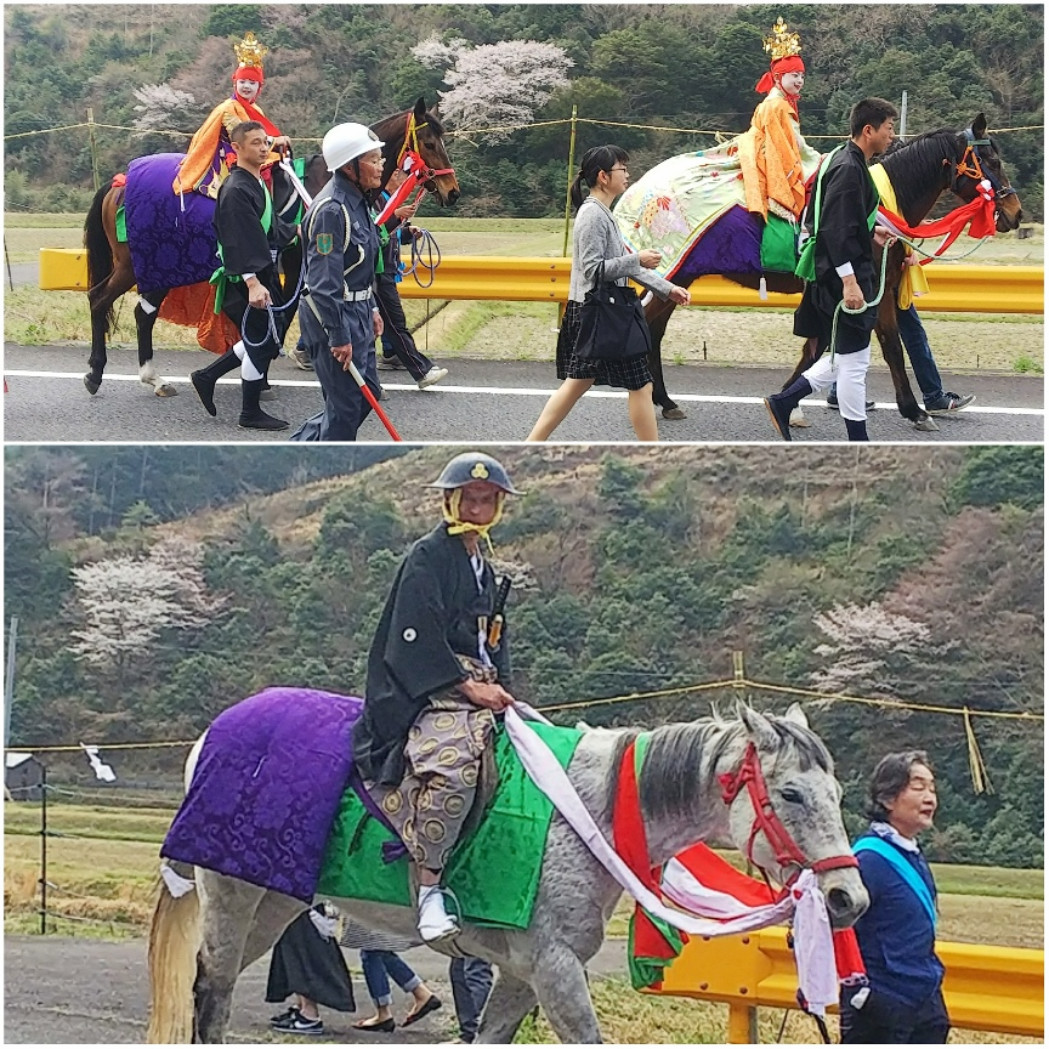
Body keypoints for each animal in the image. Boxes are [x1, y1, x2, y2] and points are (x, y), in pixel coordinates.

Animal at [81, 99, 459, 396]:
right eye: (428, 142)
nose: (452, 190)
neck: (324, 183)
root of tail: (119, 181)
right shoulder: (300, 260)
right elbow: (287, 310)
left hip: (162, 265)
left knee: (142, 313)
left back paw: (153, 378)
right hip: (138, 263)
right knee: (100, 299)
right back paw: (97, 372)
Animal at [147, 704, 868, 1040]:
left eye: (836, 792)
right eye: (792, 793)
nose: (848, 897)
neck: (595, 813)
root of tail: (211, 735)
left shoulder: (526, 970)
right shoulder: (553, 965)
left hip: (271, 903)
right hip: (231, 894)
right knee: (210, 995)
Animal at [633, 114, 1019, 425]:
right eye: (992, 160)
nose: (1014, 212)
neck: (880, 205)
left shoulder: (876, 287)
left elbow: (827, 347)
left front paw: (792, 401)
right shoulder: (866, 288)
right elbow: (887, 345)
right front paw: (913, 410)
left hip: (676, 280)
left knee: (655, 331)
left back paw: (665, 400)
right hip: (673, 272)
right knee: (649, 328)